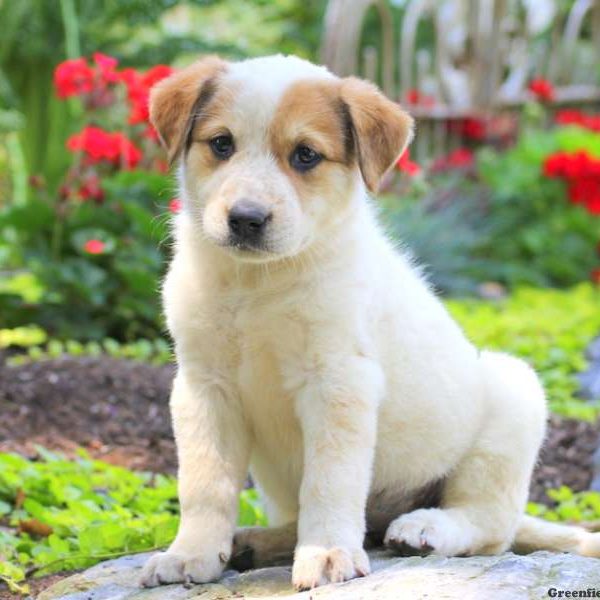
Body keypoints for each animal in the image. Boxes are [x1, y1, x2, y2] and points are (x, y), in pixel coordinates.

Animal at [139, 55, 600, 592]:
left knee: (489, 525)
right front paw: (190, 552)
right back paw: (257, 542)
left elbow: (330, 480)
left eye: (305, 155)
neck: (257, 285)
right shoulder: (204, 386)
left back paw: (425, 528)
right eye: (221, 144)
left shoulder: (338, 381)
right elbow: (204, 481)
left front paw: (326, 553)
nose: (246, 219)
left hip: (513, 395)